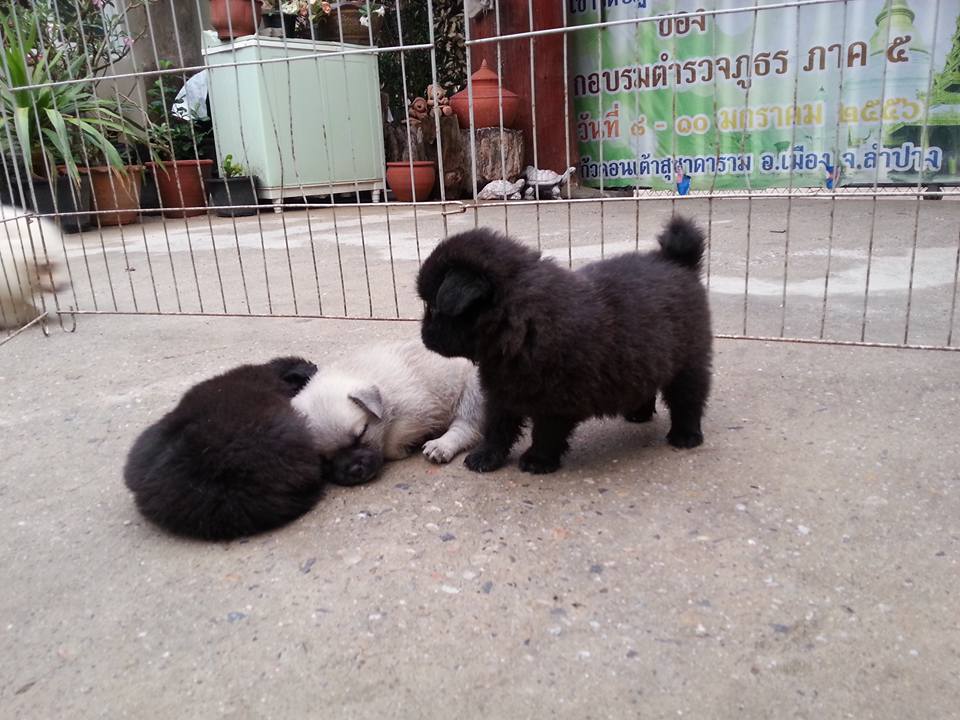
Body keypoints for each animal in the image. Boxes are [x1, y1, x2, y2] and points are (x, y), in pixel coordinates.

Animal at [291, 340, 484, 485]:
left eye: (361, 435)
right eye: (324, 460)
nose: (355, 470)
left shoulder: (415, 413)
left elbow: (391, 441)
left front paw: (402, 449)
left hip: (473, 392)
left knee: (465, 427)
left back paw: (442, 445)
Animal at [416, 216, 712, 474]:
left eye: (434, 307)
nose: (423, 335)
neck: (520, 322)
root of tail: (676, 261)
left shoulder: (558, 398)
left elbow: (546, 431)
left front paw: (538, 460)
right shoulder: (501, 391)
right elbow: (498, 427)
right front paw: (486, 456)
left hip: (689, 362)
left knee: (688, 399)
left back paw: (685, 435)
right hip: (647, 357)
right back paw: (638, 413)